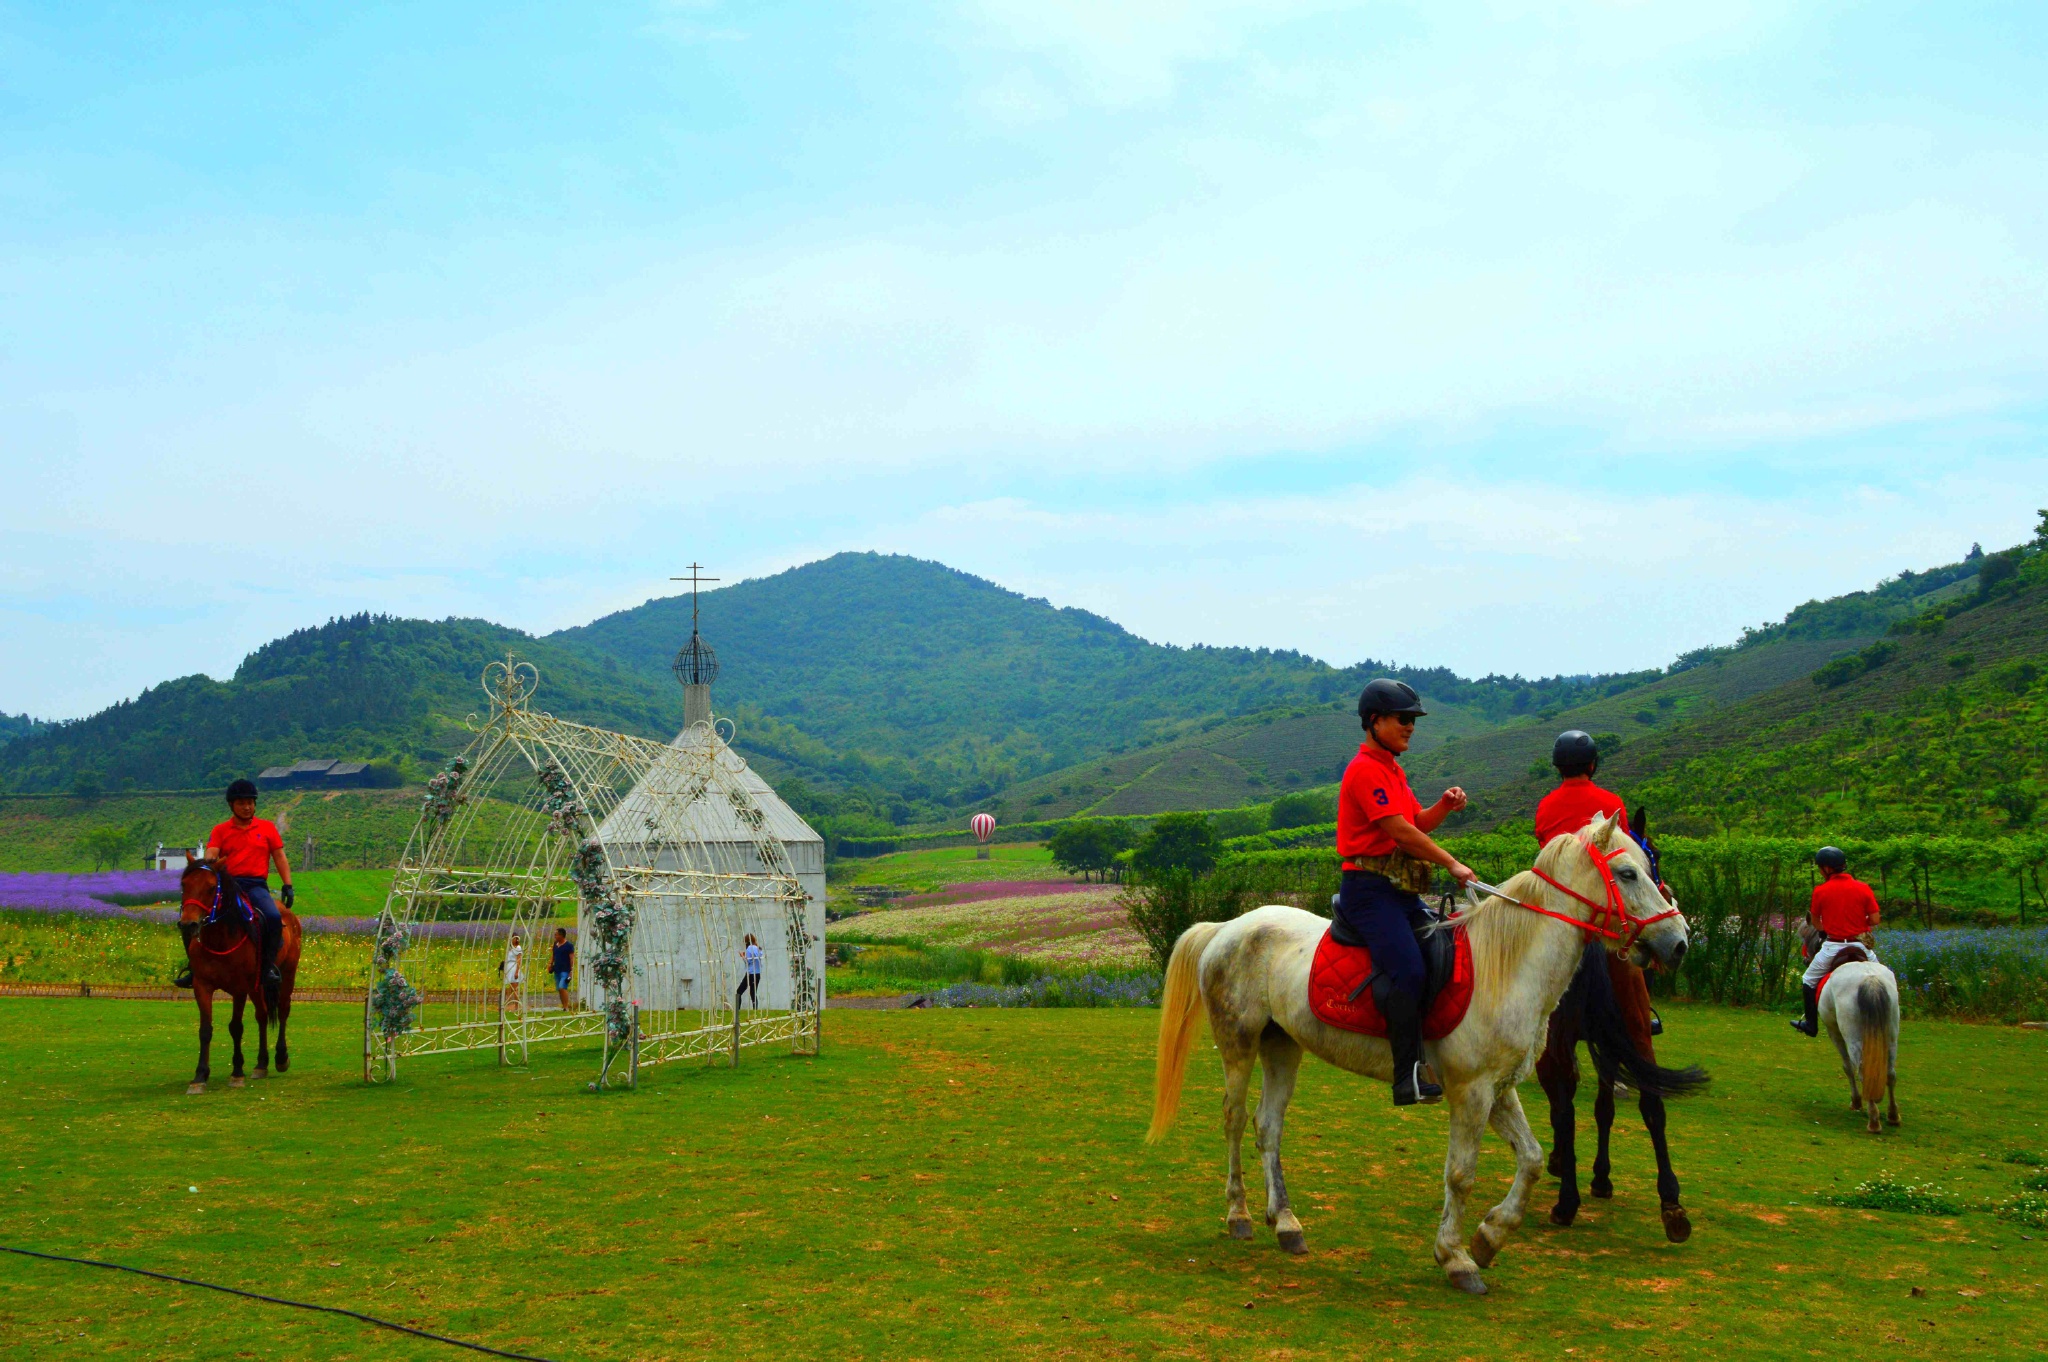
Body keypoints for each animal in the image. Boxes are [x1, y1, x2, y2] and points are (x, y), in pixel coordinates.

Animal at [180, 860, 301, 1097]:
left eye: (211, 888)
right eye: (184, 885)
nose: (188, 924)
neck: (219, 938)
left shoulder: (239, 988)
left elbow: (236, 1027)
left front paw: (237, 1072)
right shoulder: (202, 986)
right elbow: (205, 1030)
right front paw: (200, 1076)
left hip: (287, 975)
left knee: (283, 1011)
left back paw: (281, 1057)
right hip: (256, 986)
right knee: (262, 1015)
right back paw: (261, 1064)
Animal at [1146, 811, 1687, 1294]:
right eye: (1628, 873)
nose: (1679, 941)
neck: (1506, 964)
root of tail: (1226, 927)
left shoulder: (1499, 1089)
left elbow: (1532, 1160)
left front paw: (1490, 1236)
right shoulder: (1470, 1092)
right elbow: (1461, 1175)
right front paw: (1457, 1258)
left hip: (1283, 1047)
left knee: (1268, 1127)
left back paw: (1286, 1224)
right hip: (1238, 1044)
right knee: (1235, 1120)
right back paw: (1238, 1215)